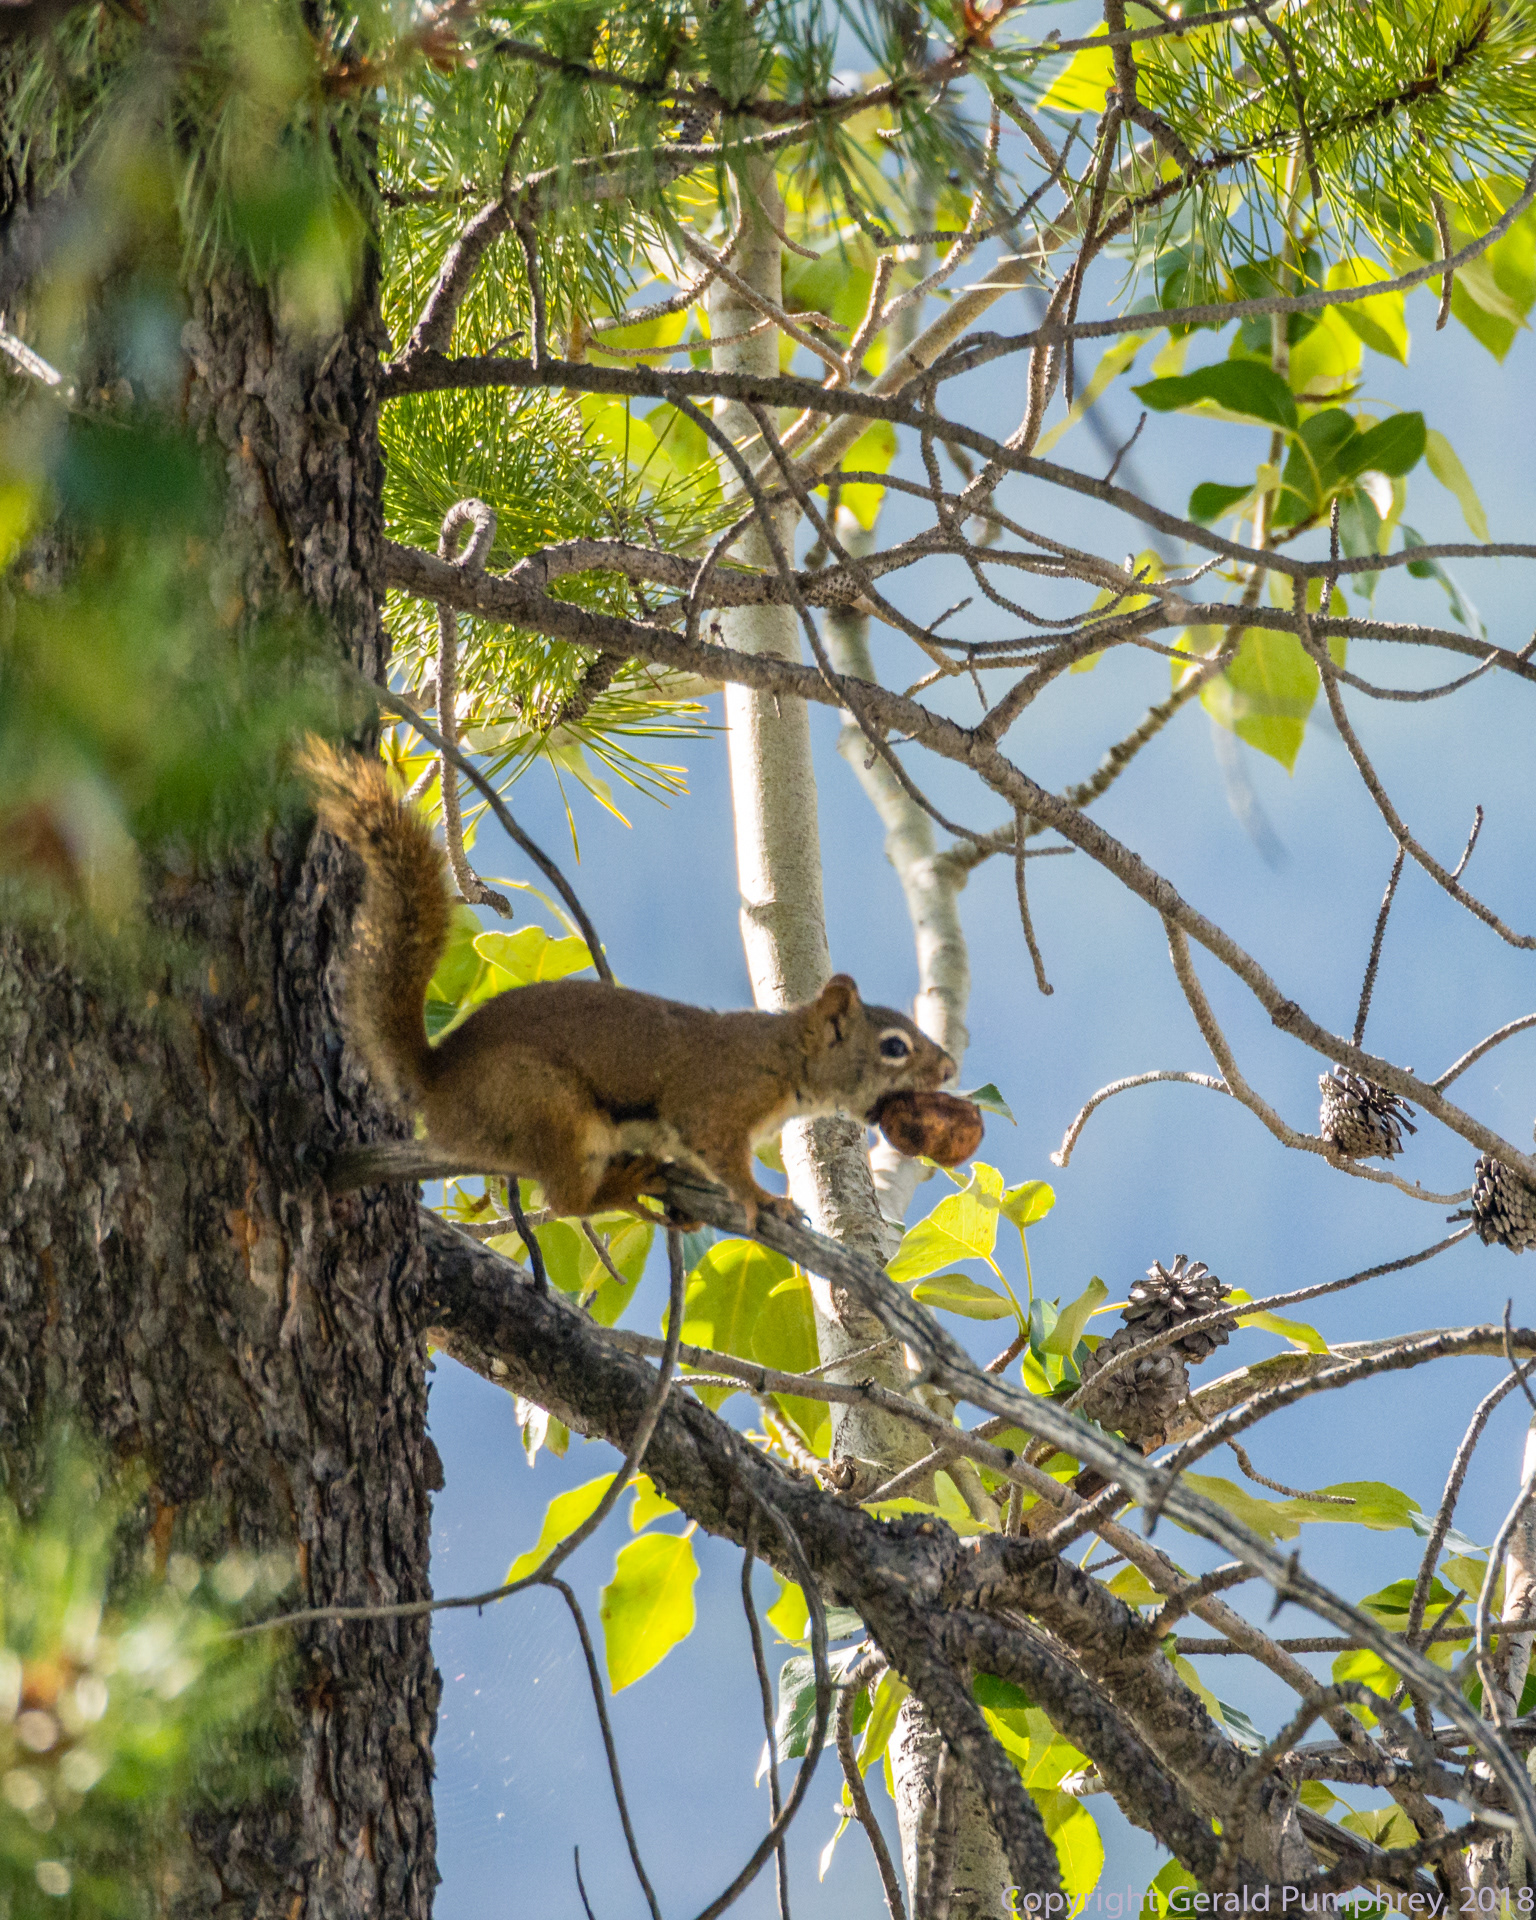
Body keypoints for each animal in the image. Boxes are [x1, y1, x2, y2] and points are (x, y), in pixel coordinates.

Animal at [299, 740, 958, 1227]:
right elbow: (722, 1156)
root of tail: (435, 1084)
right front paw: (762, 1200)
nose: (949, 1069)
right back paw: (618, 1190)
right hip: (547, 1109)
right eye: (894, 1046)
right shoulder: (716, 1102)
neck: (782, 1054)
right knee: (564, 1201)